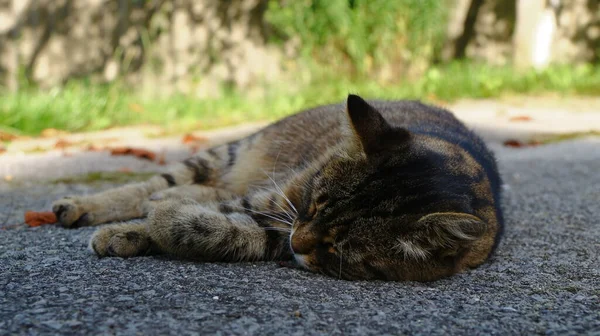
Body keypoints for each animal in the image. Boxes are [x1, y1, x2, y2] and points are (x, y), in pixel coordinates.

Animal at [50, 94, 502, 280]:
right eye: (315, 204)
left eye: (338, 247)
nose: (298, 243)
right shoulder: (279, 200)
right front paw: (127, 230)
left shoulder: (276, 228)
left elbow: (226, 228)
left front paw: (151, 227)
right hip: (226, 154)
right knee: (152, 186)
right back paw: (82, 206)